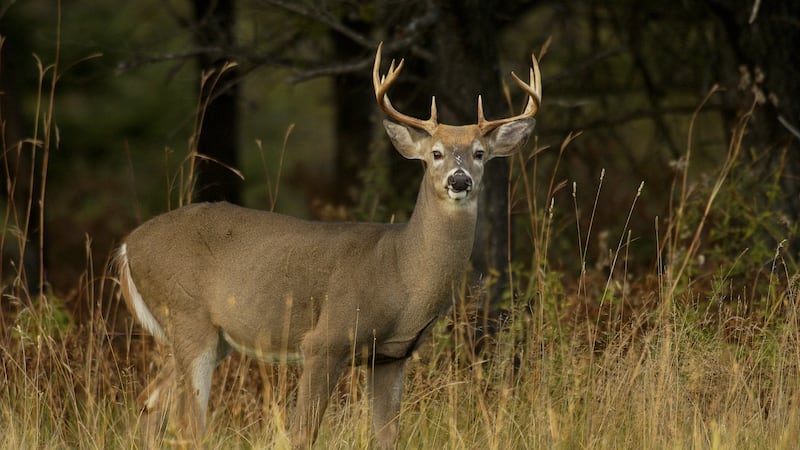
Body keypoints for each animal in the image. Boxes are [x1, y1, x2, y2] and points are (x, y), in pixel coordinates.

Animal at [115, 42, 541, 449]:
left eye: (479, 153)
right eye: (435, 153)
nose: (459, 180)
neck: (401, 272)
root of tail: (126, 247)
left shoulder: (391, 354)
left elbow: (388, 437)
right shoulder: (325, 341)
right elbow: (303, 433)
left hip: (208, 336)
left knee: (150, 404)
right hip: (188, 317)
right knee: (188, 424)